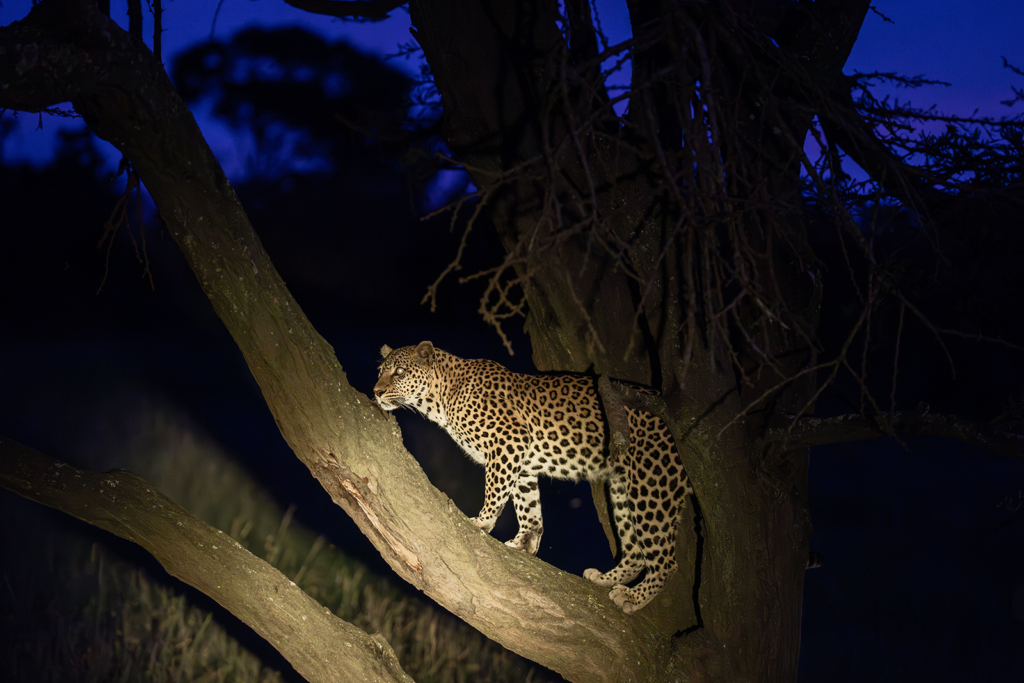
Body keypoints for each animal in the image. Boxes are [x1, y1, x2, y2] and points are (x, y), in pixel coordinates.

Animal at [372, 342, 692, 614]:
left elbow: (495, 490)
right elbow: (527, 505)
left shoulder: (508, 441)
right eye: (380, 371)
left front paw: (482, 522)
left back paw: (633, 597)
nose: (376, 392)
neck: (441, 398)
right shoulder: (522, 462)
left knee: (667, 561)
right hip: (622, 488)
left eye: (399, 372)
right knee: (636, 550)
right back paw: (604, 579)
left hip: (651, 481)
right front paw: (524, 543)